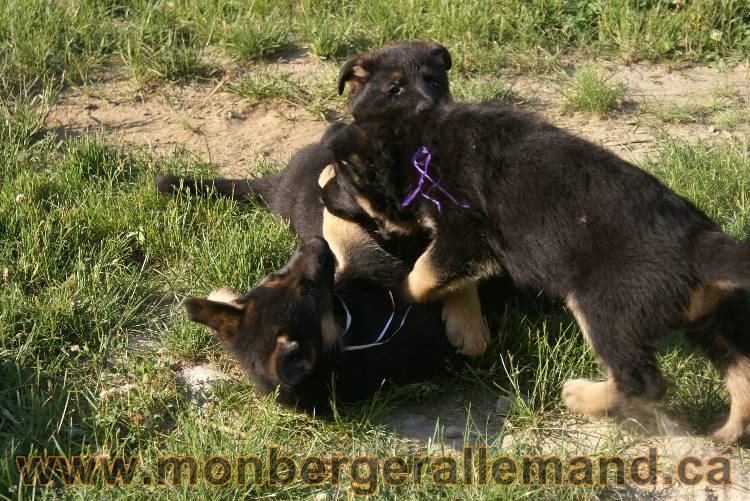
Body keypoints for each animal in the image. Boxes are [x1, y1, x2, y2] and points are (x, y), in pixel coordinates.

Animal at [320, 101, 750, 442]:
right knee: (741, 369)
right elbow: (449, 277)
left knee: (642, 382)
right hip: (709, 321)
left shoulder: (463, 232)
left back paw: (581, 396)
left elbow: (423, 274)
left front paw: (399, 293)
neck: (421, 152)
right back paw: (728, 432)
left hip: (605, 307)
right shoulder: (466, 247)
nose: (322, 195)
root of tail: (699, 247)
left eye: (343, 174)